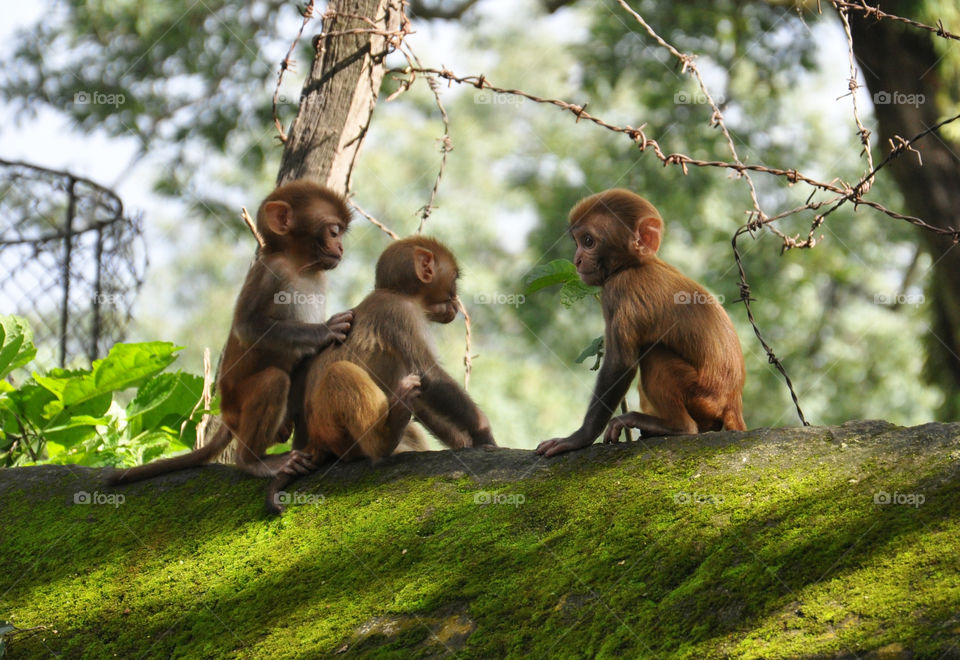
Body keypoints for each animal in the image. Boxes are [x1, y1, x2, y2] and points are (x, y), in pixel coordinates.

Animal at [109, 180, 354, 484]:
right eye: (333, 231)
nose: (340, 247)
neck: (301, 267)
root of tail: (226, 416)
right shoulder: (270, 271)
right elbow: (247, 327)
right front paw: (324, 330)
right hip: (240, 406)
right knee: (273, 381)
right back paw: (252, 462)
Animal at [268, 235, 498, 512]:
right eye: (454, 280)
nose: (455, 302)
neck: (396, 293)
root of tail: (315, 441)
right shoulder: (401, 313)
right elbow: (430, 376)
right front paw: (483, 433)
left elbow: (423, 397)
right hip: (336, 434)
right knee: (340, 372)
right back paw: (385, 440)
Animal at [536, 188, 748, 458]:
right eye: (578, 242)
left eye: (588, 241)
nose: (577, 260)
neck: (633, 265)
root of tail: (733, 401)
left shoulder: (618, 290)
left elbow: (620, 364)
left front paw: (579, 438)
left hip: (703, 397)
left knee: (654, 353)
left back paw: (677, 426)